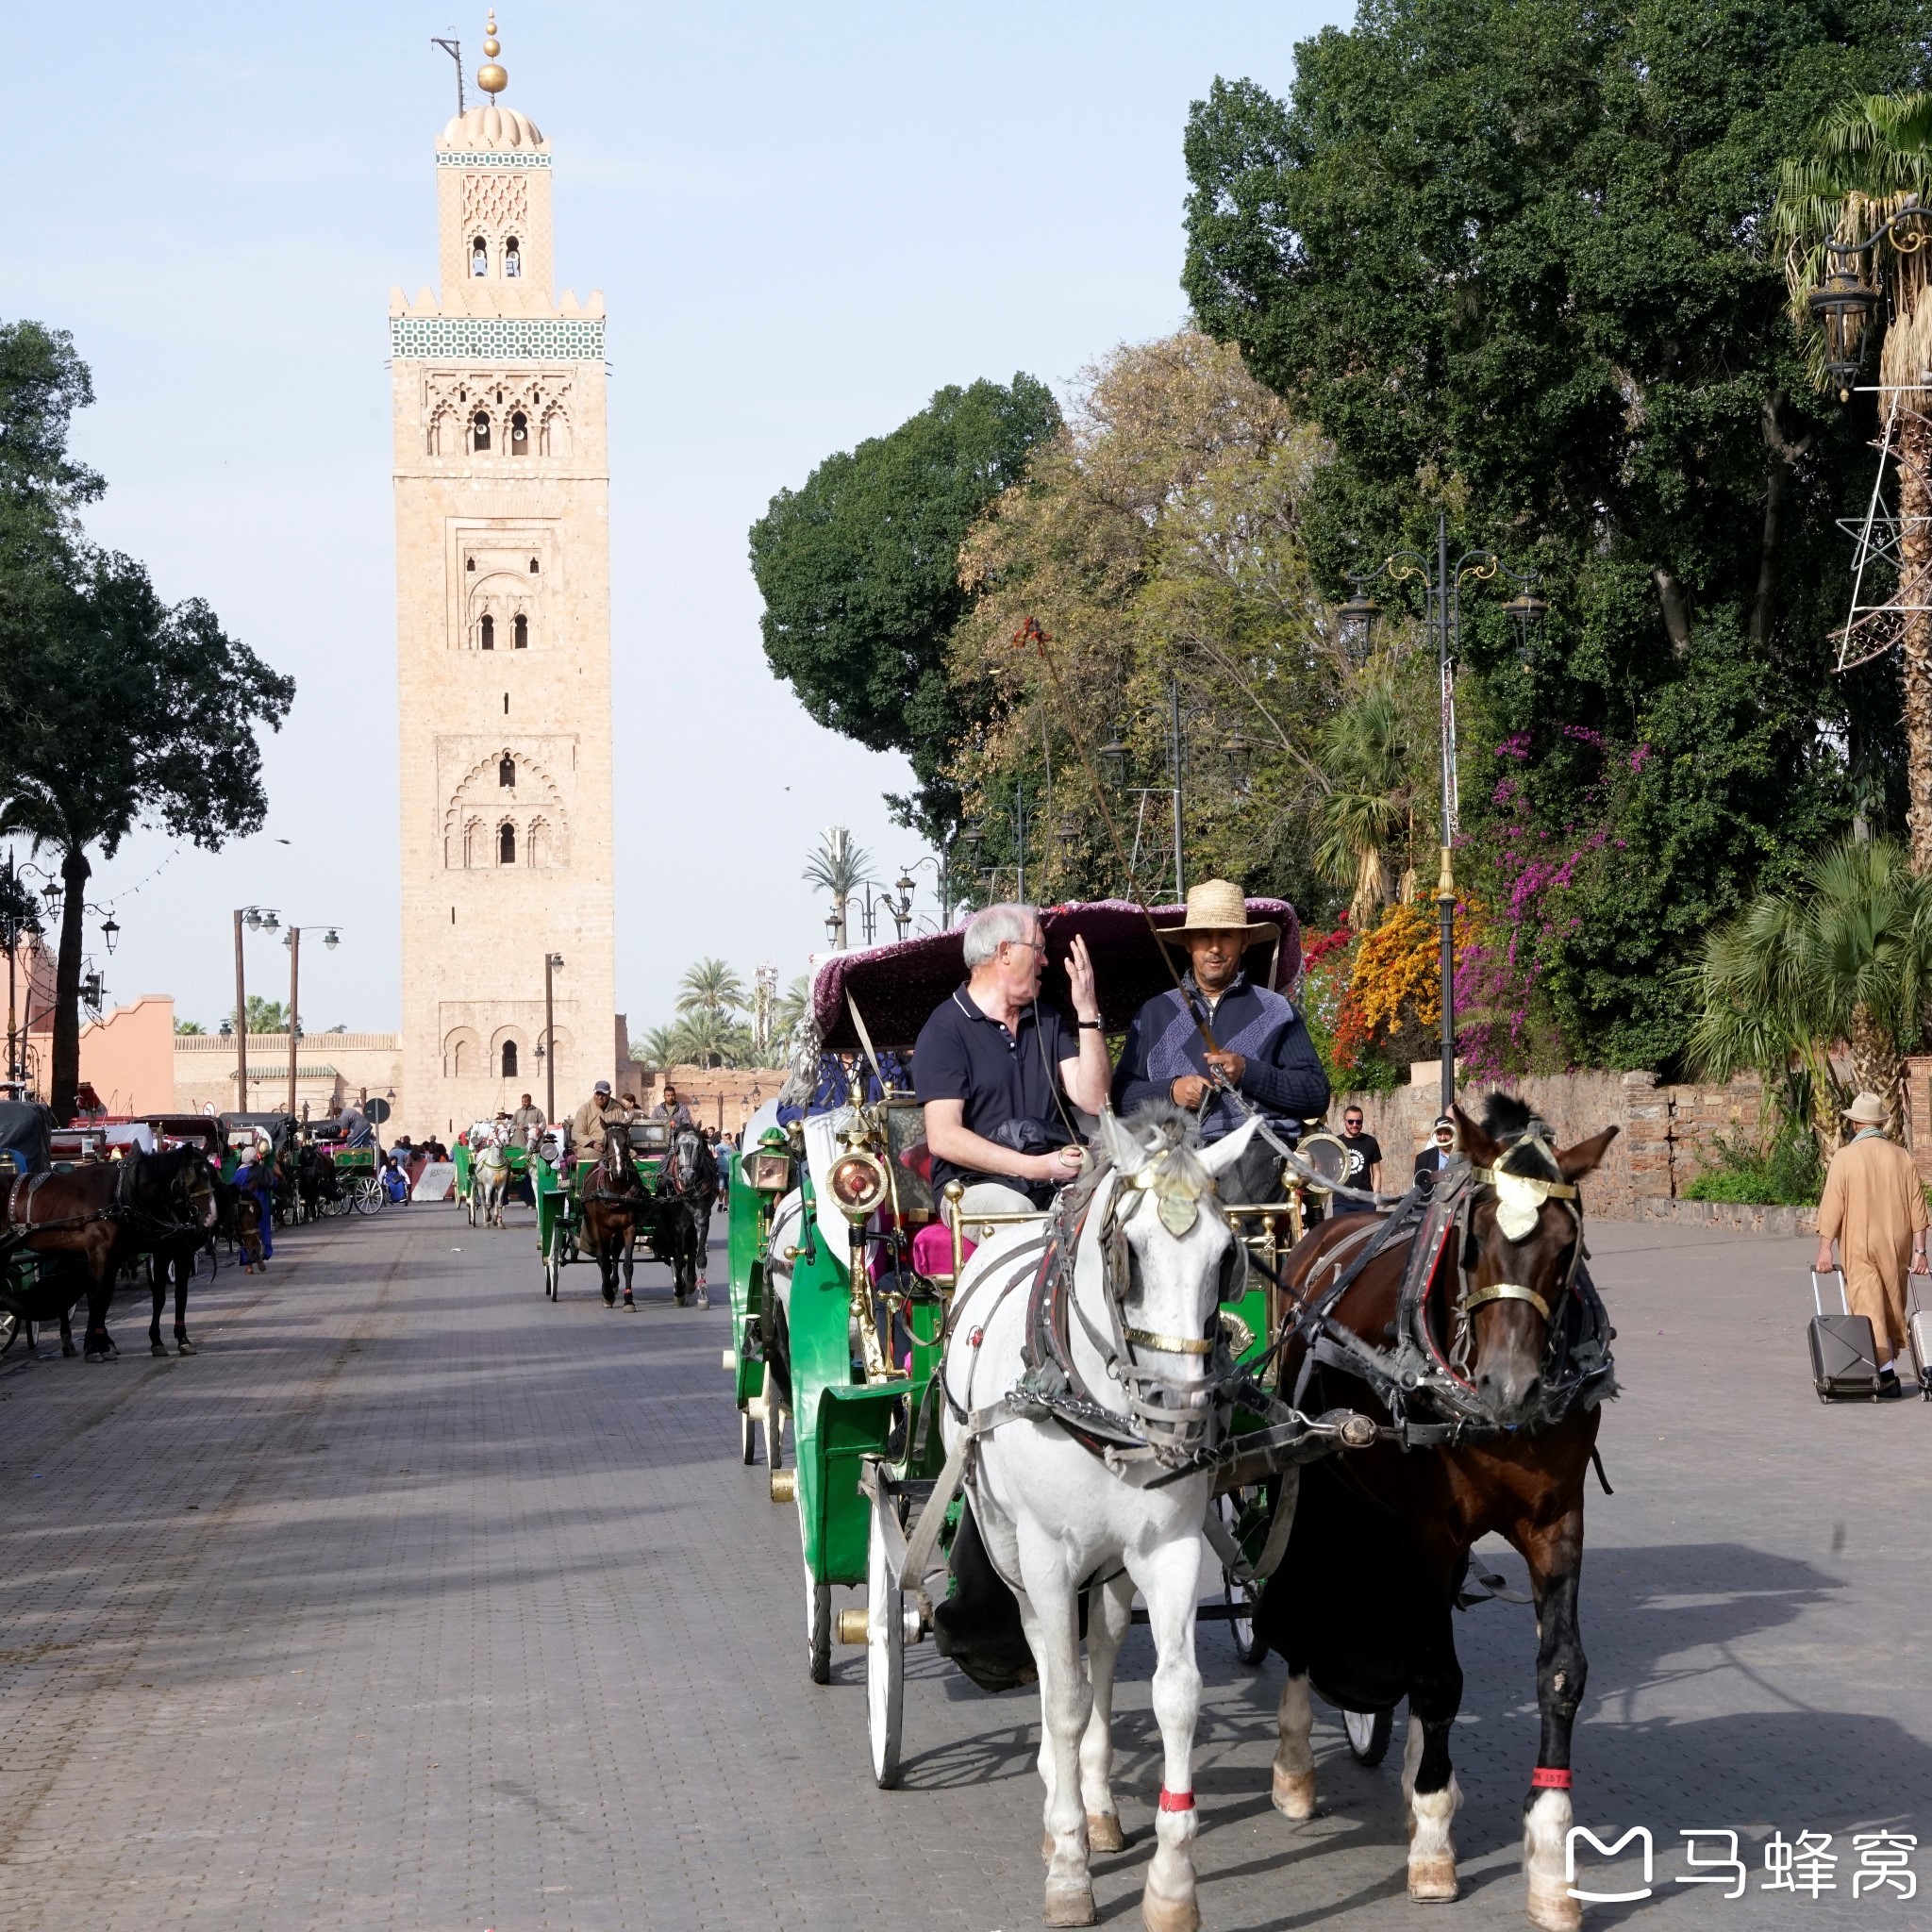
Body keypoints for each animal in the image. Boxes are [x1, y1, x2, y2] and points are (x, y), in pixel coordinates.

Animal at [579, 1128, 649, 1313]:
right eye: (606, 1144)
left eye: (627, 1142)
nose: (618, 1171)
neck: (616, 1191)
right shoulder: (602, 1228)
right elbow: (604, 1261)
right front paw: (607, 1294)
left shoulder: (629, 1227)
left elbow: (628, 1264)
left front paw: (628, 1300)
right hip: (594, 1225)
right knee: (602, 1257)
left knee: (616, 1252)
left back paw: (615, 1283)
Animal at [935, 1105, 1267, 1932]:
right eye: (1132, 1256)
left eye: (1227, 1257)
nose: (1181, 1413)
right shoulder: (1048, 1556)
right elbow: (1061, 1698)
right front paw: (1068, 1870)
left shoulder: (1171, 1549)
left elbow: (1174, 1694)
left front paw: (1172, 1882)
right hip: (1010, 1545)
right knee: (1048, 1657)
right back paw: (1063, 1806)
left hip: (1114, 1564)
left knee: (1106, 1646)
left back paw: (1096, 1804)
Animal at [1259, 1105, 1623, 1932]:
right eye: (1475, 1239)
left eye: (1567, 1247)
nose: (1510, 1385)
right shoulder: (1430, 1529)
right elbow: (1436, 1675)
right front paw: (1432, 1840)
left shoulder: (1558, 1521)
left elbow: (1560, 1672)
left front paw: (1550, 1861)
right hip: (1315, 1474)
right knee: (1303, 1601)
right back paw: (1295, 1765)